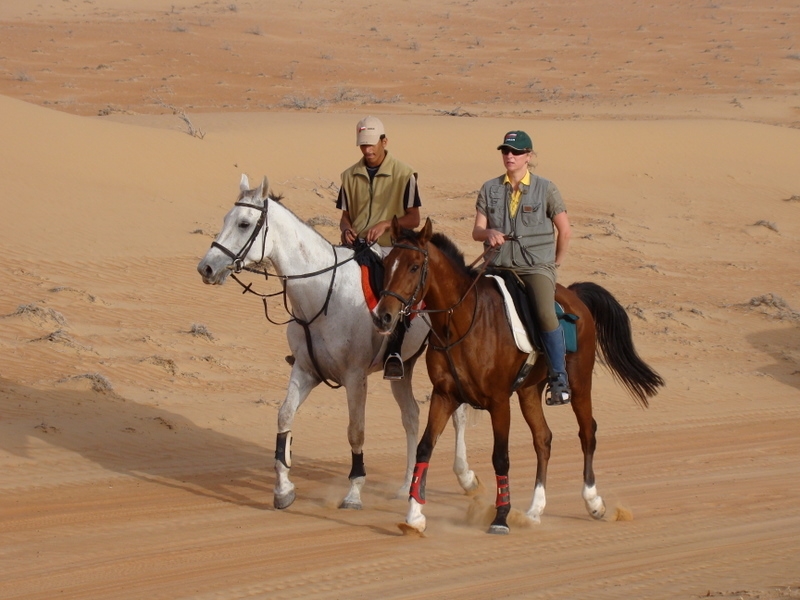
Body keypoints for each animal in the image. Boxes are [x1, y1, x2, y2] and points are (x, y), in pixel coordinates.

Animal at [197, 176, 478, 508]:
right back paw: (406, 485)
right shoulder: (306, 371)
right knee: (411, 416)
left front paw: (354, 491)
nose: (206, 268)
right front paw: (283, 489)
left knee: (458, 415)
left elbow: (356, 432)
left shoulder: (355, 378)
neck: (321, 295)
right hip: (403, 367)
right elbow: (284, 418)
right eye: (225, 219)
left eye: (243, 223)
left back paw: (465, 476)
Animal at [372, 219, 664, 536]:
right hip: (529, 392)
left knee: (587, 433)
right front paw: (414, 516)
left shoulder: (499, 402)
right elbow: (425, 449)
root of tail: (574, 295)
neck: (461, 322)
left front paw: (500, 517)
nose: (382, 316)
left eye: (414, 266)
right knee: (543, 439)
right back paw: (535, 510)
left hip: (579, 384)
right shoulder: (444, 395)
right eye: (387, 263)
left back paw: (593, 501)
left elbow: (501, 457)